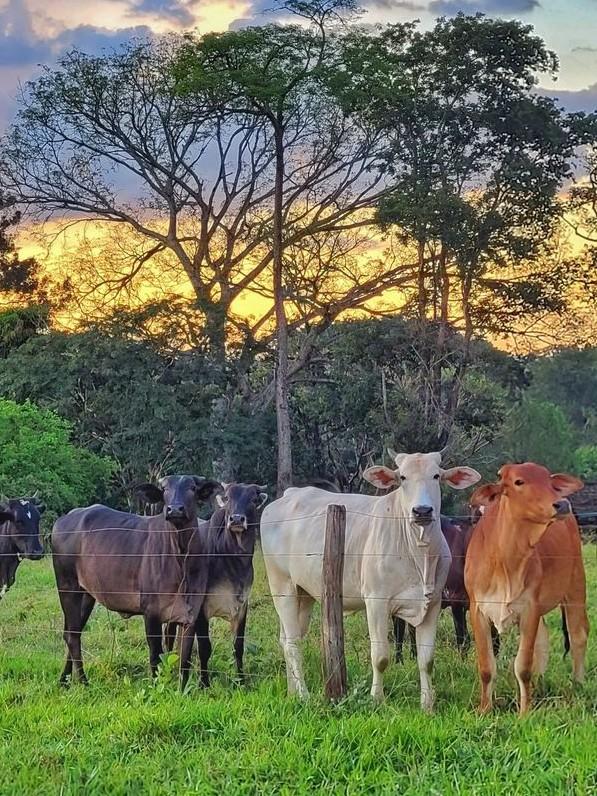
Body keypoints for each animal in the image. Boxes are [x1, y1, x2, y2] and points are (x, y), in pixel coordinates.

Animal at [51, 475, 221, 689]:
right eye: (164, 489)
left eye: (192, 487)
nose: (174, 509)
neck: (181, 559)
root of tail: (64, 519)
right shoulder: (151, 613)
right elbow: (156, 655)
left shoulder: (191, 615)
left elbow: (185, 659)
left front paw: (182, 691)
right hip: (67, 587)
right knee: (72, 636)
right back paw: (83, 681)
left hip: (86, 595)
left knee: (72, 632)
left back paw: (64, 680)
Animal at [164, 482, 268, 685]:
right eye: (227, 498)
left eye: (253, 499)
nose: (236, 519)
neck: (233, 560)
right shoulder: (201, 610)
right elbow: (205, 648)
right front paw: (204, 683)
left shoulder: (242, 605)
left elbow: (238, 646)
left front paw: (241, 681)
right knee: (169, 633)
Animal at [261, 451, 481, 711]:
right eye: (402, 477)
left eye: (436, 475)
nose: (422, 511)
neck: (419, 553)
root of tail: (289, 494)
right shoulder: (376, 602)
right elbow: (381, 656)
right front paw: (377, 699)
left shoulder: (433, 604)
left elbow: (426, 660)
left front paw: (427, 704)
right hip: (282, 586)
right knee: (293, 643)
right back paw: (303, 694)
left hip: (304, 593)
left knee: (286, 639)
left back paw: (292, 690)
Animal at [464, 462, 588, 715]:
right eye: (518, 482)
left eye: (549, 480)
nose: (562, 504)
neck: (504, 562)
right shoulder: (477, 610)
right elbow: (486, 666)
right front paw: (484, 709)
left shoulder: (530, 609)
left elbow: (522, 666)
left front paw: (524, 712)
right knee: (543, 640)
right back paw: (540, 684)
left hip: (575, 586)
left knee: (578, 636)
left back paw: (577, 685)